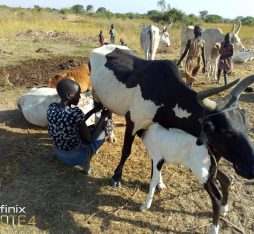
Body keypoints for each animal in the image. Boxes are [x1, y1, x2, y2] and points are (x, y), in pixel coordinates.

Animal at [89, 44, 254, 234]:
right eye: (228, 132)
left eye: (246, 126)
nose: (251, 169)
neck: (165, 92)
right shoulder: (133, 122)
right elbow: (126, 151)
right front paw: (116, 177)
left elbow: (155, 160)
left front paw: (159, 183)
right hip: (97, 98)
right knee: (101, 115)